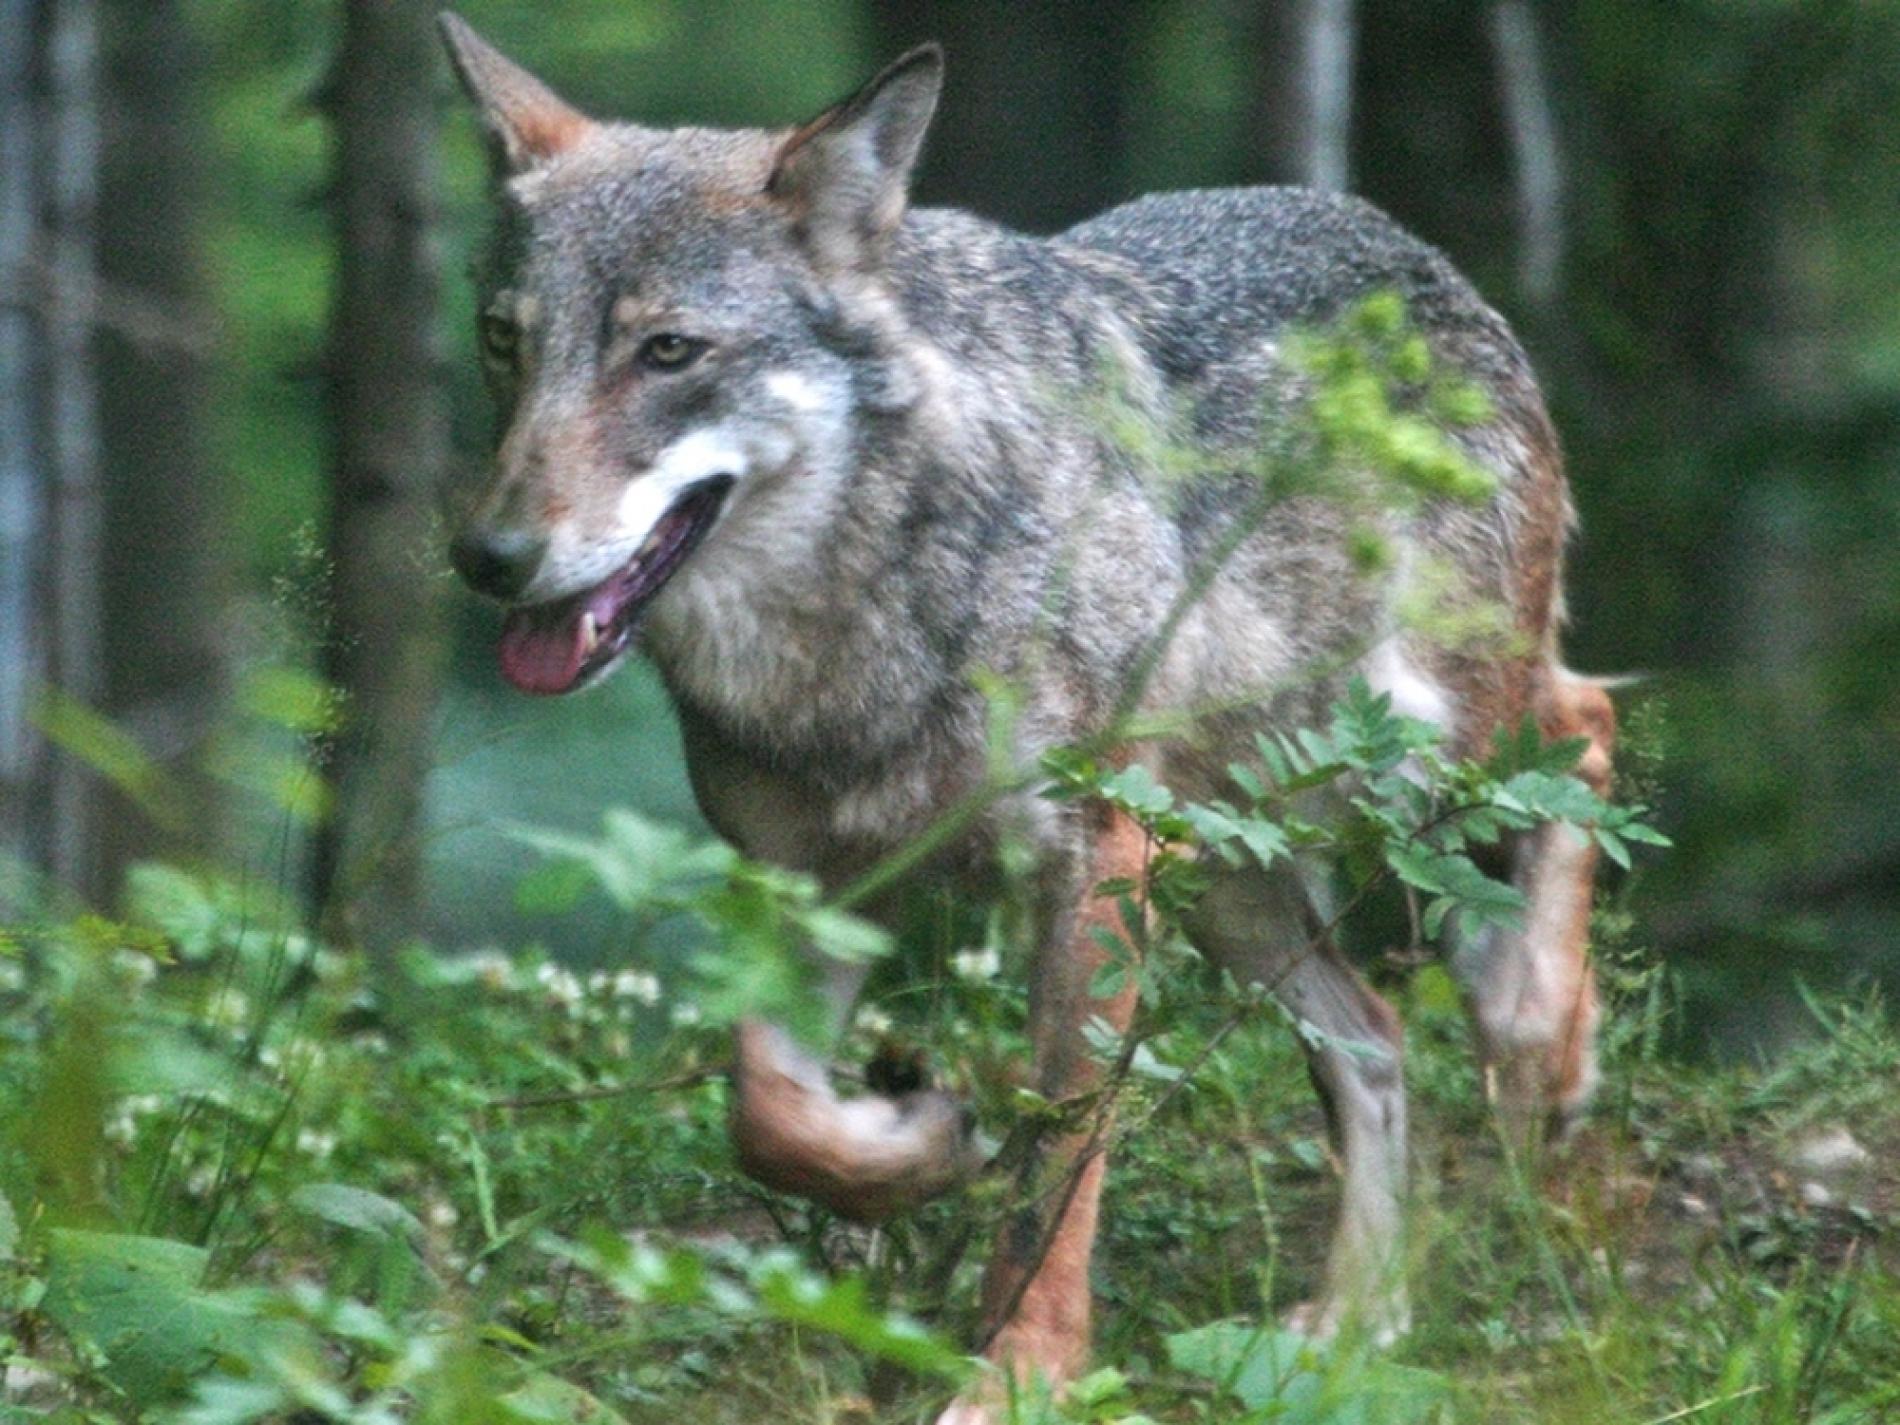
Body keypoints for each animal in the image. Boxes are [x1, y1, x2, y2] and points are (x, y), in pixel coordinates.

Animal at [444, 19, 1618, 1421]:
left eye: (668, 352)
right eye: (505, 341)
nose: (487, 558)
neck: (862, 608)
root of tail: (1416, 254)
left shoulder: (1086, 864)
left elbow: (1057, 1169)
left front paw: (1021, 1374)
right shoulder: (807, 884)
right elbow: (768, 1112)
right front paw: (913, 1142)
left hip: (1415, 745)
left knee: (1582, 734)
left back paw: (1540, 1036)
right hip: (1226, 871)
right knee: (1374, 1043)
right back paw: (1352, 1325)